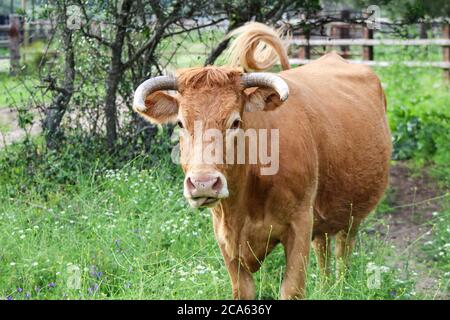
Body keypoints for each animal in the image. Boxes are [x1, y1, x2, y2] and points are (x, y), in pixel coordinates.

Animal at [133, 22, 390, 300]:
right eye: (180, 123)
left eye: (235, 121)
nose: (203, 183)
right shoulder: (224, 237)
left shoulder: (300, 225)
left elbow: (292, 289)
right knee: (323, 247)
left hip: (353, 215)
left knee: (343, 251)